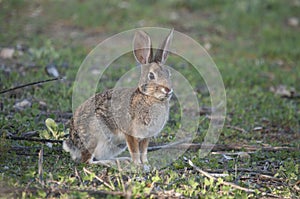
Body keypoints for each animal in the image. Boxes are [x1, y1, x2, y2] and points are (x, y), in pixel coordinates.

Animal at [63, 28, 173, 166]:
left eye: (169, 74)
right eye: (151, 76)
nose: (168, 89)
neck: (148, 97)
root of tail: (72, 144)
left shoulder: (146, 136)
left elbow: (143, 151)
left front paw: (146, 164)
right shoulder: (130, 132)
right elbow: (135, 150)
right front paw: (138, 165)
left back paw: (120, 160)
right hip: (95, 136)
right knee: (87, 161)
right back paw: (110, 163)